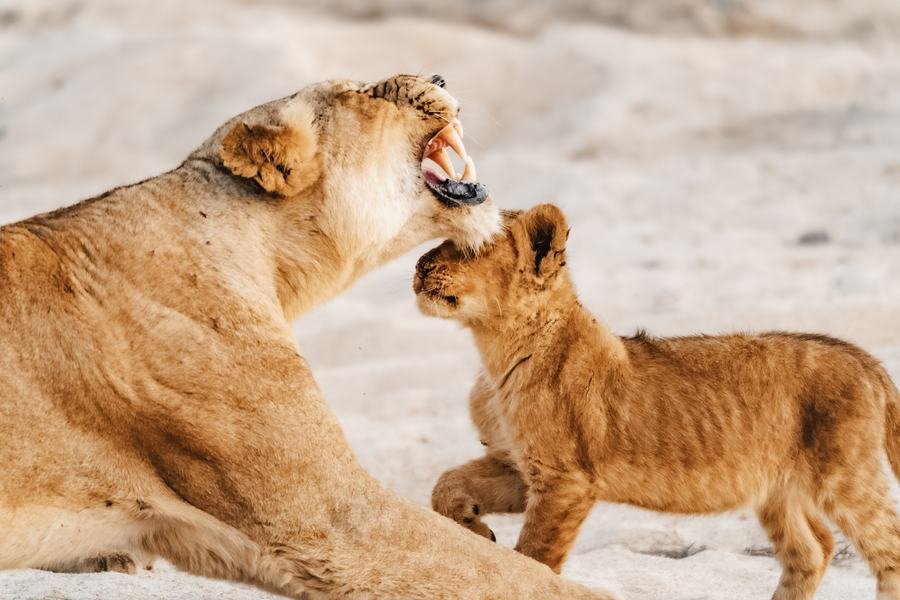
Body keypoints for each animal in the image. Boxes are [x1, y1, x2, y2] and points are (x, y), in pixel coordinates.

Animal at [414, 204, 900, 600]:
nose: (419, 266)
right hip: (779, 488)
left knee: (888, 546)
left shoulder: (566, 480)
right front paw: (475, 527)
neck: (496, 354)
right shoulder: (517, 466)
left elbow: (535, 555)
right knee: (812, 548)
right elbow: (445, 484)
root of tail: (864, 358)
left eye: (469, 248)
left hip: (845, 475)